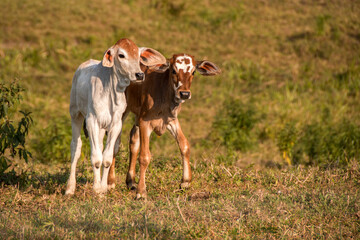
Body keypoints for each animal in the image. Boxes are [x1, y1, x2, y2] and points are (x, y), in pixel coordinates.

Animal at [107, 53, 219, 198]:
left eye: (193, 72)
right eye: (173, 70)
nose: (184, 93)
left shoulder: (171, 120)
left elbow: (184, 146)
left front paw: (185, 182)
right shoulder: (145, 121)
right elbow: (145, 156)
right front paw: (141, 191)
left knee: (133, 139)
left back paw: (131, 182)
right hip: (121, 111)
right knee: (114, 142)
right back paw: (110, 183)